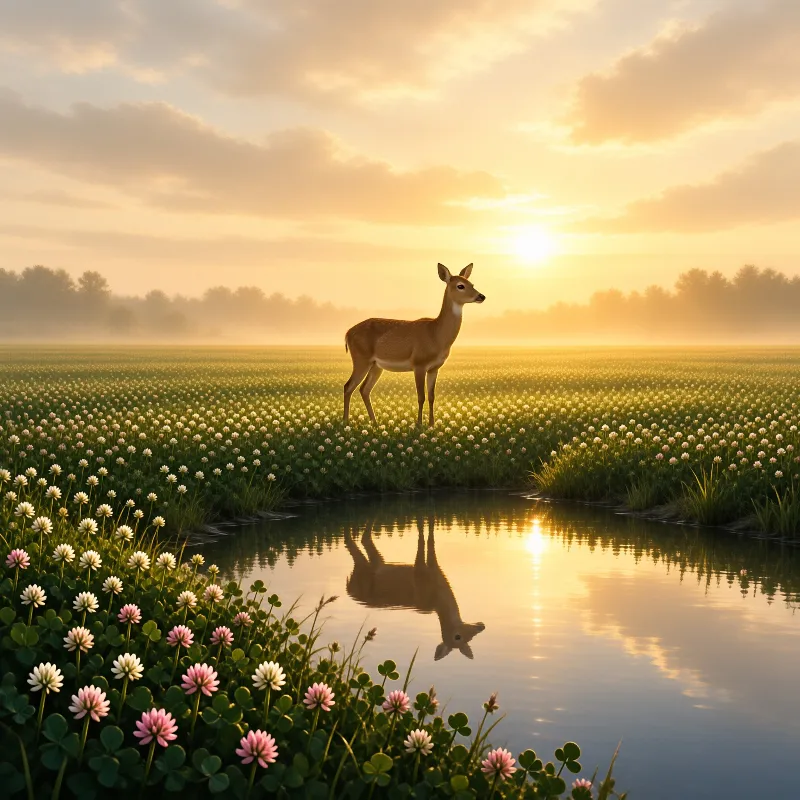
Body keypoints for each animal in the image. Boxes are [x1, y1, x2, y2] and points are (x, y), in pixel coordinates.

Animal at [343, 263, 485, 426]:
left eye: (472, 284)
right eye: (460, 285)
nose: (481, 296)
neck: (436, 334)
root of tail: (347, 333)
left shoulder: (434, 368)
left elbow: (431, 396)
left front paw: (431, 424)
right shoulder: (419, 364)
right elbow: (421, 396)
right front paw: (419, 424)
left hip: (376, 365)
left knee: (364, 389)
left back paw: (375, 422)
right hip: (361, 359)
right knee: (348, 386)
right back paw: (345, 421)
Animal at [343, 516, 486, 661]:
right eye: (457, 637)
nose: (481, 626)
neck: (437, 594)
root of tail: (348, 588)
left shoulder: (434, 567)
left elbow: (430, 538)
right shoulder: (419, 571)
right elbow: (422, 539)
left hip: (375, 564)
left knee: (365, 538)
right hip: (362, 573)